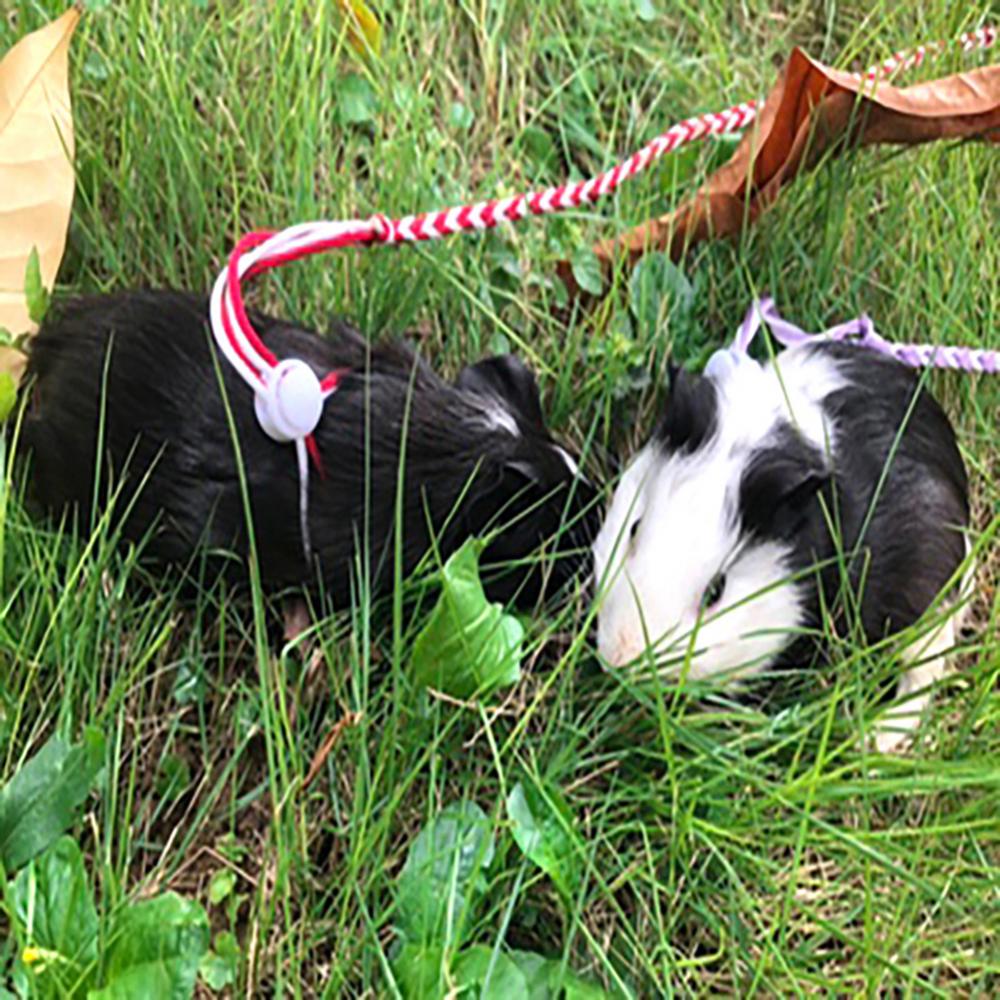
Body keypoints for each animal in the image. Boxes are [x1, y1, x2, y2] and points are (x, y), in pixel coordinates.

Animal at [592, 339, 973, 752]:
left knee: (921, 679)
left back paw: (875, 738)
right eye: (633, 529)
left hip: (927, 615)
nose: (620, 658)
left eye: (716, 591)